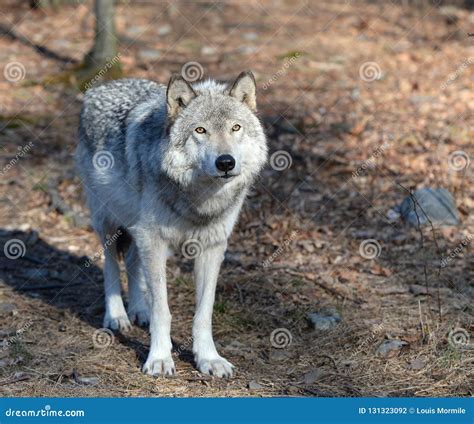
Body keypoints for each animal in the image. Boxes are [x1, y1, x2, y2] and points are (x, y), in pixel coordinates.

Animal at [74, 70, 266, 378]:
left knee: (132, 261)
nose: (226, 162)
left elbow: (204, 312)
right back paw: (117, 316)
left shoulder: (212, 247)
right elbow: (162, 311)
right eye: (200, 130)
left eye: (236, 128)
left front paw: (208, 358)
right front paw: (160, 359)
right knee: (111, 264)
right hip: (107, 221)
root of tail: (100, 87)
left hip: (135, 229)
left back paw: (138, 310)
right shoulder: (154, 240)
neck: (198, 200)